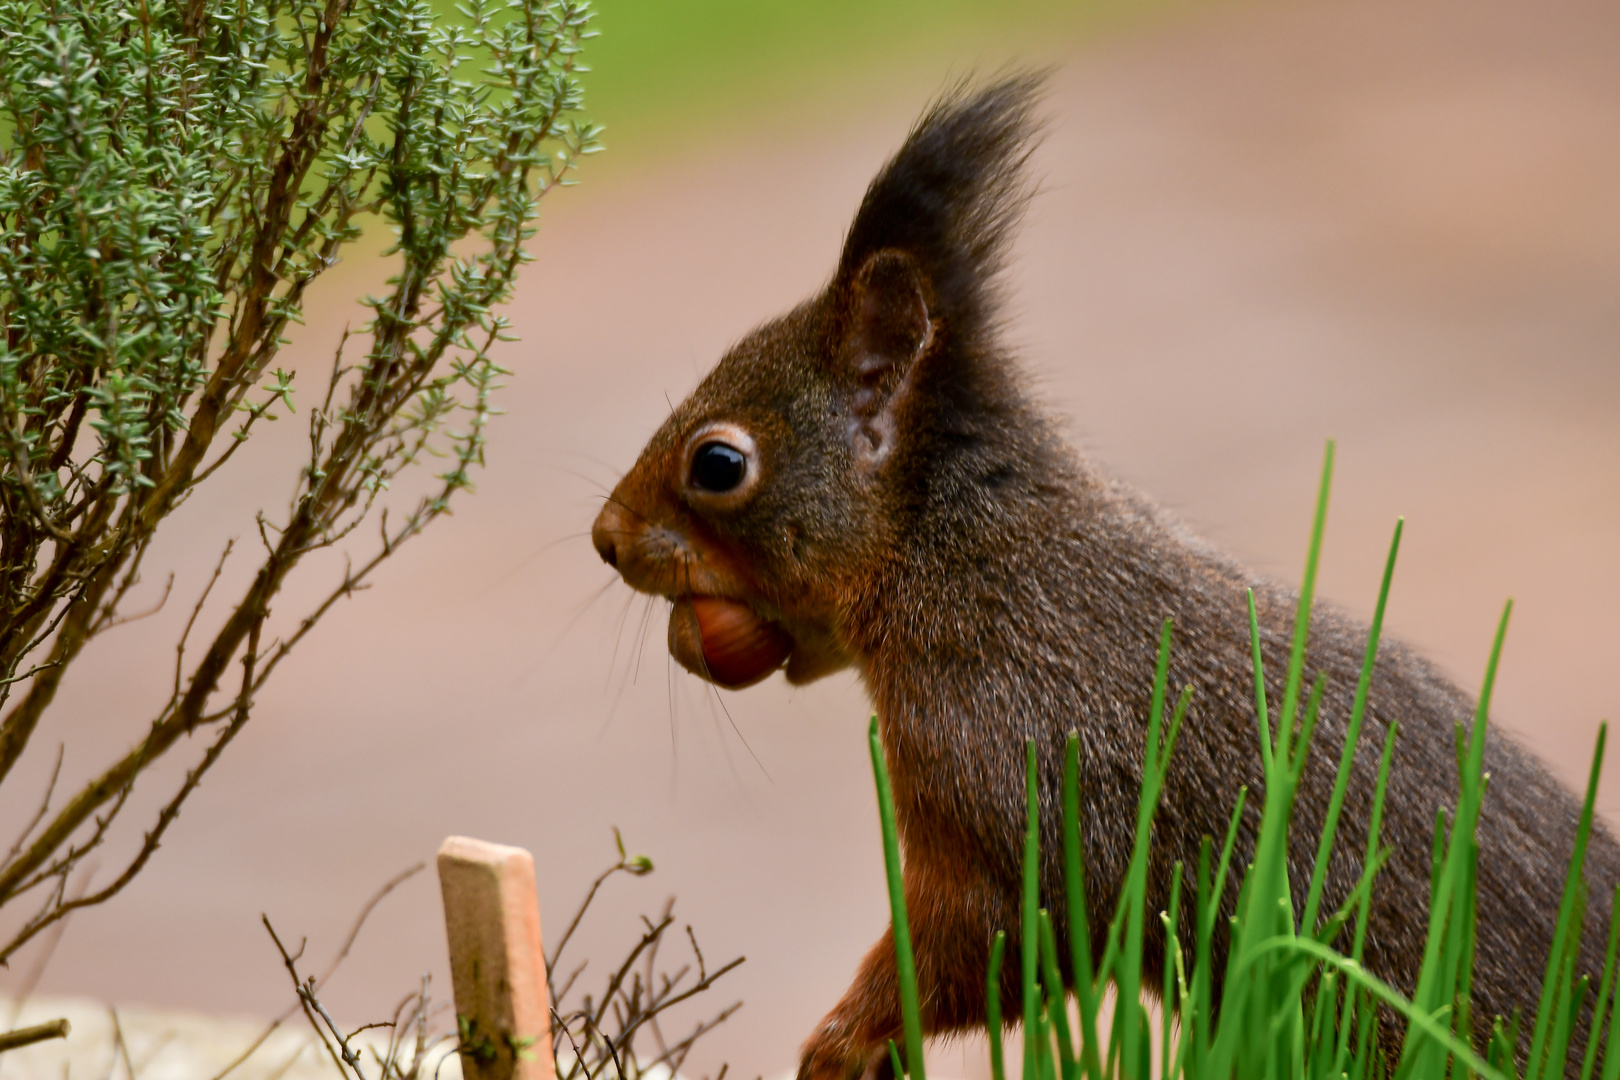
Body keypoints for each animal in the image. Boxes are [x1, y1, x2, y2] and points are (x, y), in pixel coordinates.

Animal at [589, 74, 1613, 1075]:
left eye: (719, 464)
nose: (605, 538)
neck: (966, 563)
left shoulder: (1024, 776)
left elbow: (998, 936)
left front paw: (841, 1042)